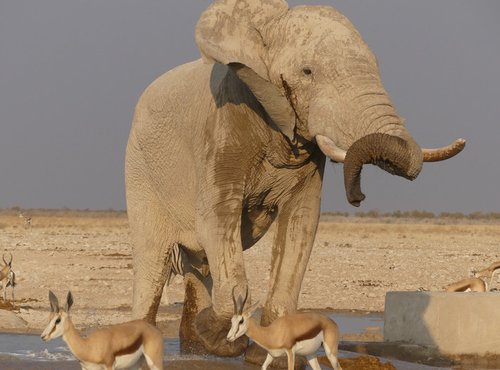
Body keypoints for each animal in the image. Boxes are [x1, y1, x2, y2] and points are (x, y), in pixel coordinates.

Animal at [126, 0, 464, 362]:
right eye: (307, 72)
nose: (358, 197)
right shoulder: (224, 126)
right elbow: (216, 220)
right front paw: (224, 337)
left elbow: (300, 225)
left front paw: (265, 354)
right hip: (140, 170)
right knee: (153, 261)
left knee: (197, 265)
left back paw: (196, 349)